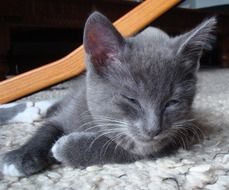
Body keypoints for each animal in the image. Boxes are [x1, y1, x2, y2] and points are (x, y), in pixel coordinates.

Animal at [0, 12, 216, 177]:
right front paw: (21, 156)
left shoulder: (165, 140)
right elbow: (47, 128)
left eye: (172, 102)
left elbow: (123, 148)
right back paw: (32, 109)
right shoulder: (75, 106)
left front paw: (65, 148)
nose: (153, 129)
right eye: (131, 100)